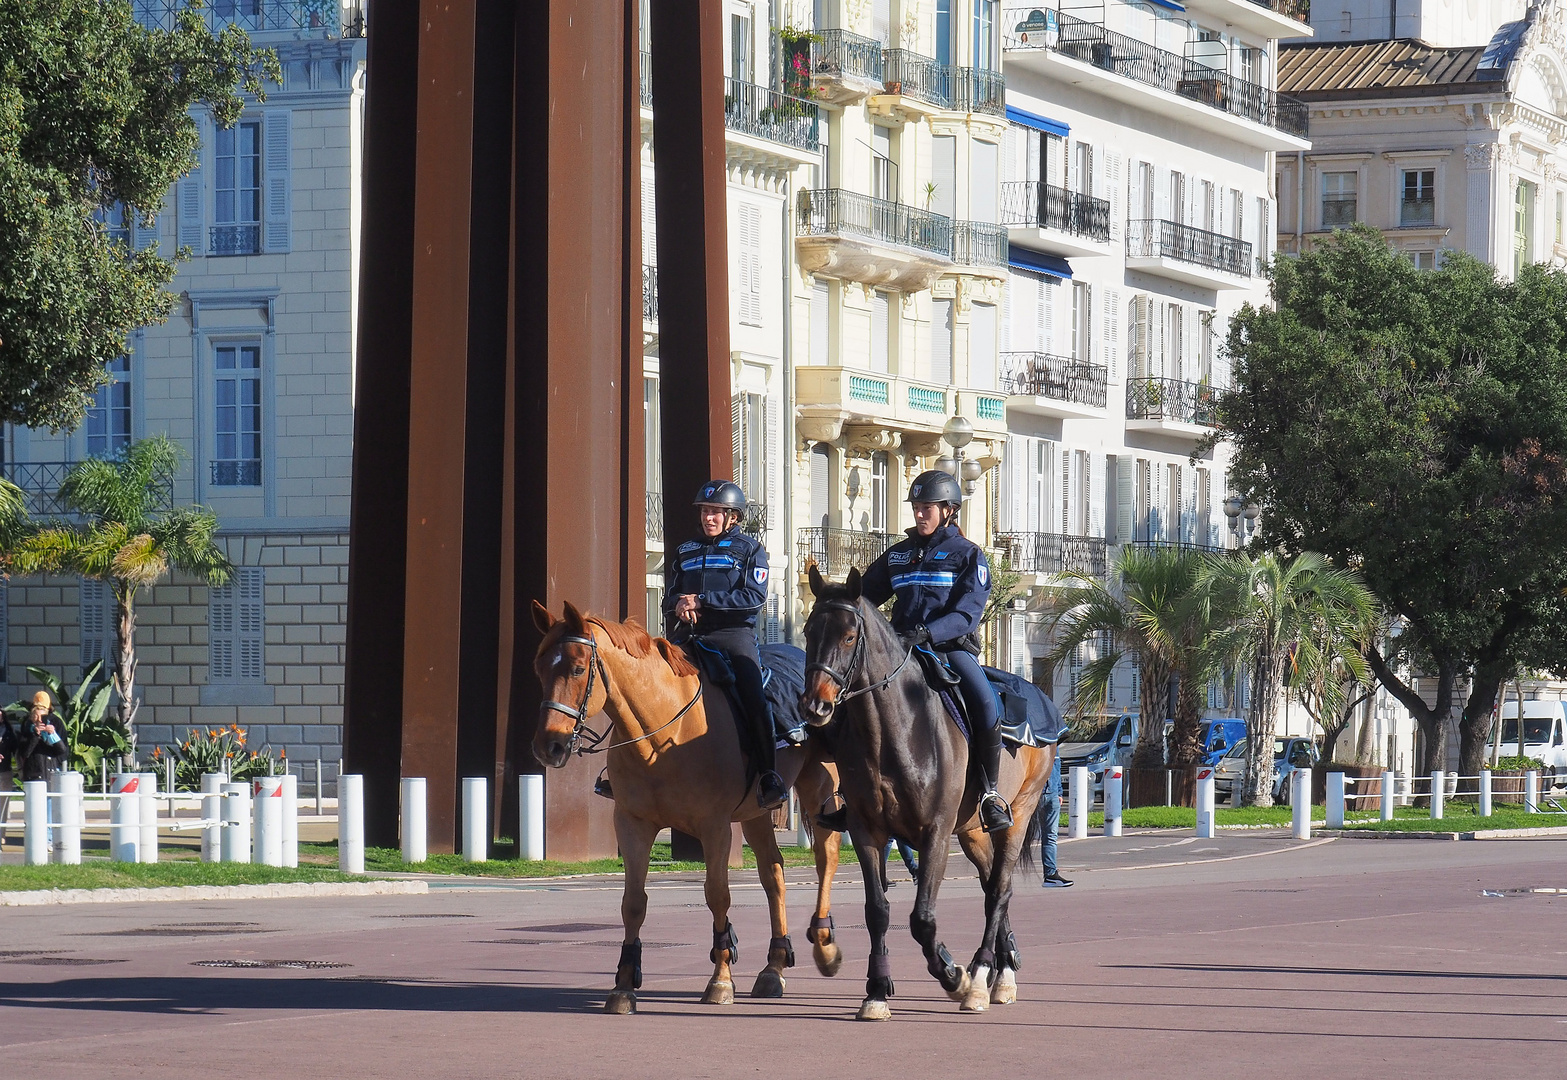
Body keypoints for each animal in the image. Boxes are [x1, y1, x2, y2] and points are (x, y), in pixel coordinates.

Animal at [526, 601, 846, 1015]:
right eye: (539, 665)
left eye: (579, 668)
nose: (547, 745)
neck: (666, 730)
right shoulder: (632, 823)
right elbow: (633, 903)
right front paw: (624, 985)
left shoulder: (715, 827)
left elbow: (717, 894)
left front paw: (721, 980)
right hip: (757, 812)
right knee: (773, 873)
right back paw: (773, 969)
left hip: (820, 790)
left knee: (826, 858)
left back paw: (824, 946)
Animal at [802, 564, 1059, 1022]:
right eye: (809, 630)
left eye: (849, 636)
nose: (816, 706)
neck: (895, 729)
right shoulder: (868, 833)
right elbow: (877, 911)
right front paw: (876, 991)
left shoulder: (934, 833)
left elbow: (922, 918)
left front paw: (953, 974)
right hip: (972, 832)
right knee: (993, 887)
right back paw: (1003, 971)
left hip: (1018, 815)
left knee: (999, 890)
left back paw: (982, 976)